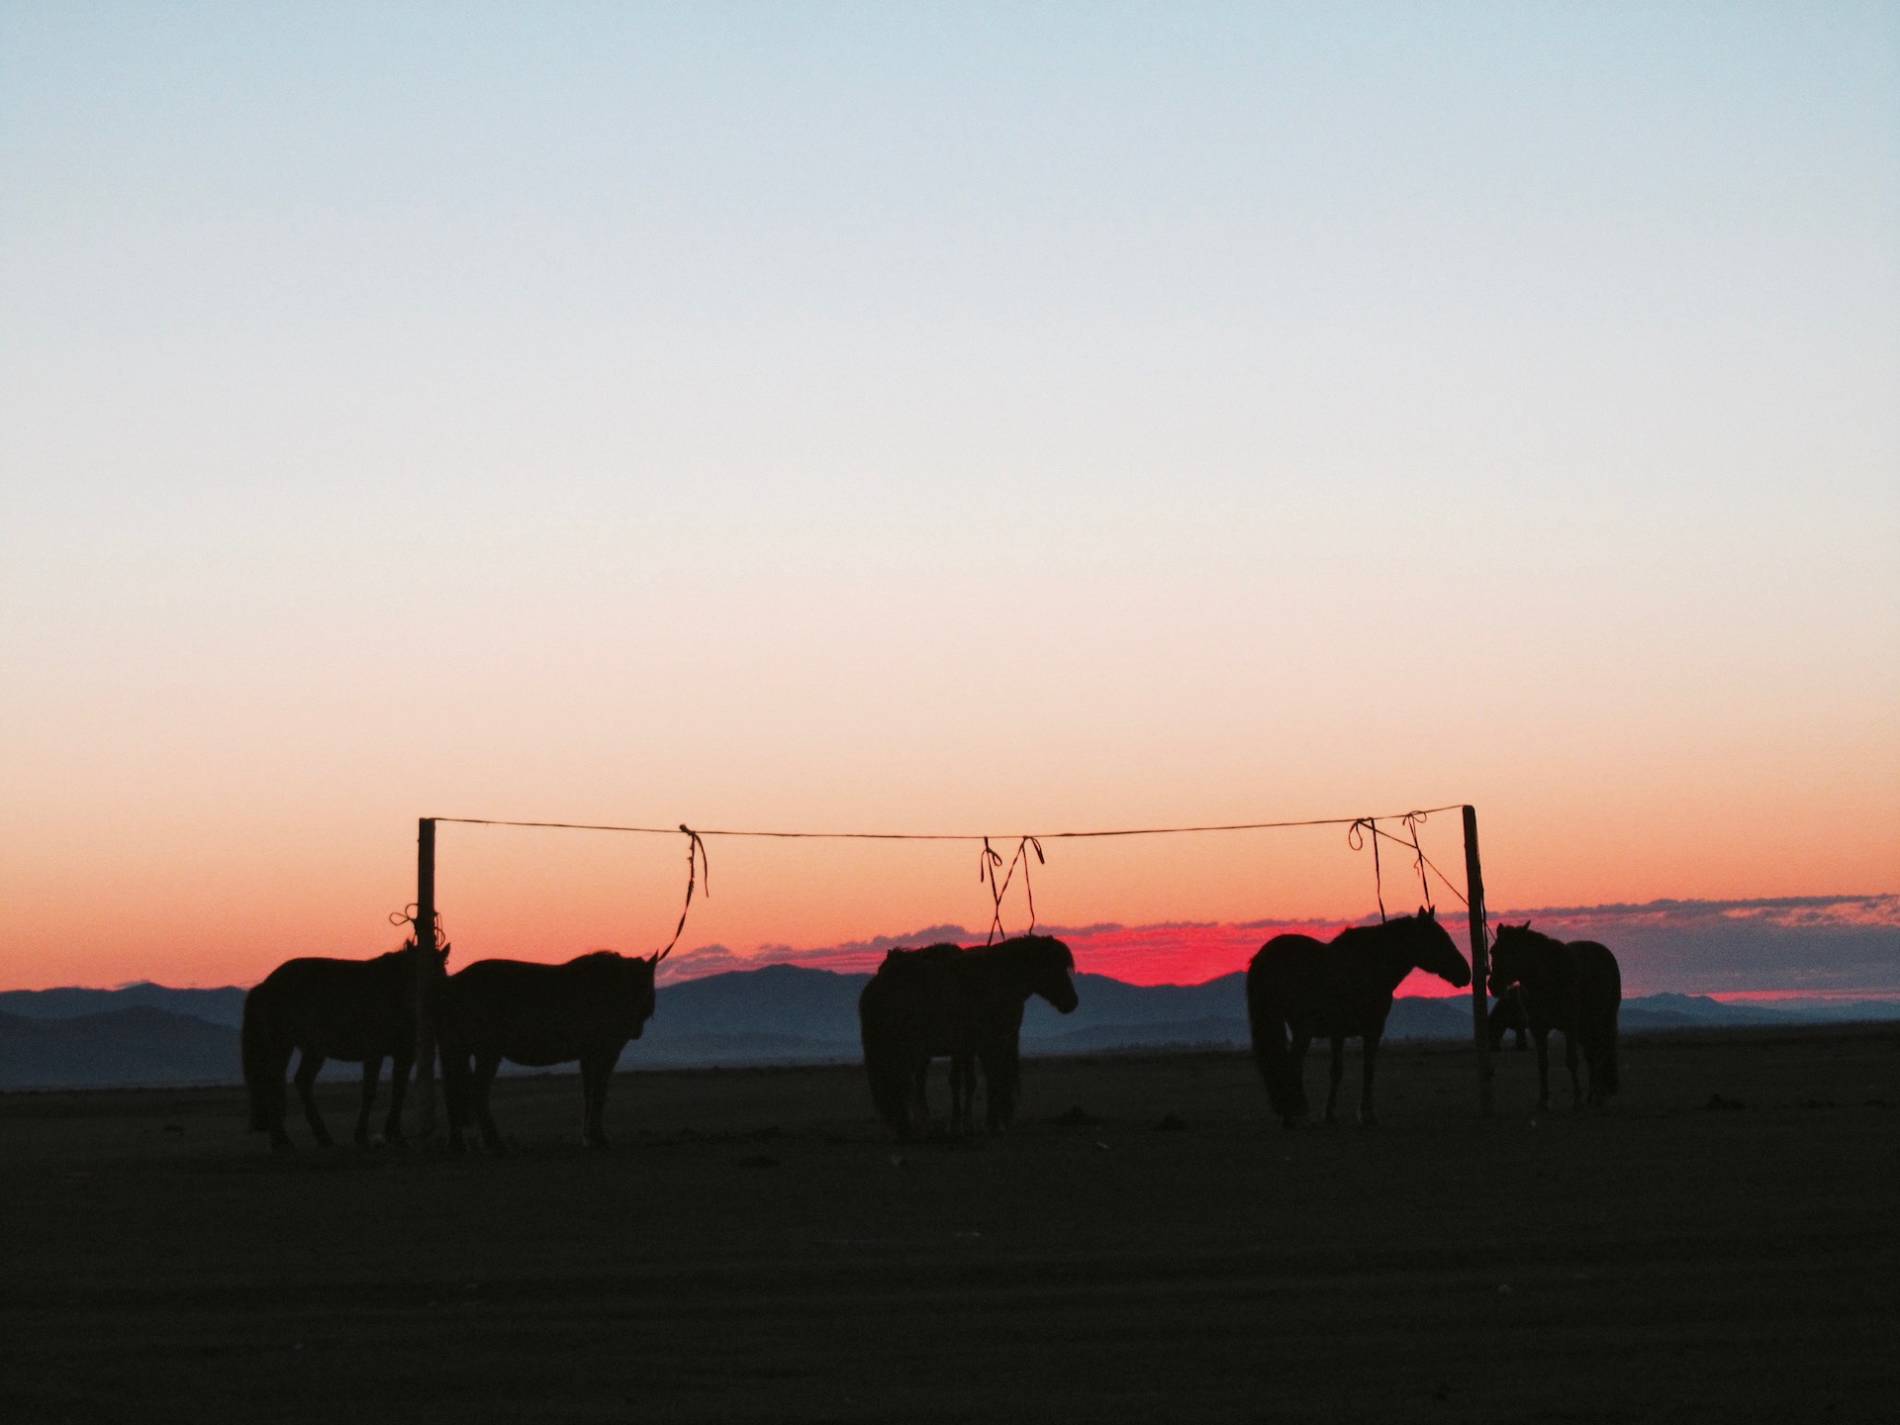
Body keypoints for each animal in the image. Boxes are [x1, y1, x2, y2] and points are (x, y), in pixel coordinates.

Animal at [241, 942, 448, 1155]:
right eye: (414, 972)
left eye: (441, 972)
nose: (427, 1006)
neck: (391, 995)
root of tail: (266, 985)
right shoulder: (373, 1053)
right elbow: (369, 1092)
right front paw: (361, 1136)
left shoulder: (405, 1055)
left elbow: (399, 1092)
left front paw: (396, 1136)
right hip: (282, 1044)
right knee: (273, 1082)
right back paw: (281, 1141)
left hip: (311, 1050)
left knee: (300, 1081)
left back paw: (321, 1138)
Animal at [440, 953, 665, 1155]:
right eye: (649, 989)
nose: (637, 1030)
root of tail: (452, 984)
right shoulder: (606, 1052)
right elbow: (599, 1093)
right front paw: (599, 1137)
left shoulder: (588, 1055)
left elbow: (589, 1094)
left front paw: (588, 1137)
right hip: (486, 1052)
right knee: (477, 1092)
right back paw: (493, 1142)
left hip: (459, 1050)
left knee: (453, 1092)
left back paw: (458, 1144)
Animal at [858, 931, 1079, 1147]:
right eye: (1053, 967)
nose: (1072, 1002)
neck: (996, 980)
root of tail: (876, 985)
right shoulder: (987, 1044)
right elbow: (990, 1078)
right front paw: (987, 1125)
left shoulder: (975, 1046)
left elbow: (978, 1080)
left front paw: (977, 1125)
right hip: (902, 1047)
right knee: (902, 1083)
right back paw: (907, 1128)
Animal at [1246, 908, 1466, 1132]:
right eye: (1439, 938)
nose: (1466, 973)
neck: (1370, 964)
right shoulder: (1373, 1030)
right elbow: (1368, 1070)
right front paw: (1368, 1115)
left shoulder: (1338, 1033)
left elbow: (1336, 1072)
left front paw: (1330, 1114)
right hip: (1303, 1029)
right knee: (1293, 1064)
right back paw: (1292, 1115)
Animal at [1482, 927, 1618, 1117]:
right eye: (1493, 951)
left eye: (1513, 951)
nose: (1493, 985)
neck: (1548, 979)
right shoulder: (1538, 1029)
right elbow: (1542, 1064)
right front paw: (1543, 1101)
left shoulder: (1569, 1026)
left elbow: (1571, 1061)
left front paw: (1577, 1101)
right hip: (1585, 1028)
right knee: (1591, 1055)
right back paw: (1592, 1095)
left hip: (1602, 1021)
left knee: (1601, 1053)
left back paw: (1599, 1096)